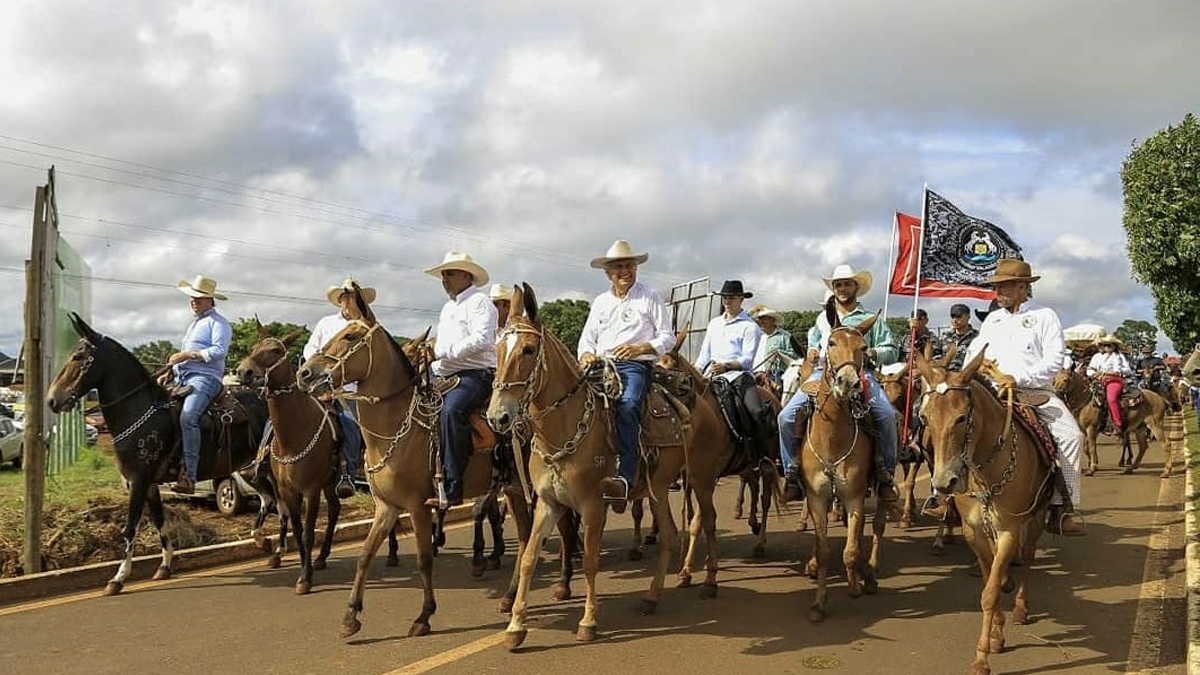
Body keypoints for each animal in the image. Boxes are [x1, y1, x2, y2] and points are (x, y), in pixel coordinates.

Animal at [47, 312, 268, 596]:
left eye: (78, 357)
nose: (52, 400)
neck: (141, 412)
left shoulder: (138, 481)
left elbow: (130, 528)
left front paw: (118, 577)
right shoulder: (150, 484)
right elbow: (160, 522)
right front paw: (164, 567)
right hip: (249, 469)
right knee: (269, 499)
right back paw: (266, 543)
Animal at [487, 283, 687, 649]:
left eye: (528, 349)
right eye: (496, 349)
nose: (498, 417)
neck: (563, 432)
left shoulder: (594, 506)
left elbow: (592, 562)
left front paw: (588, 622)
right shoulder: (548, 503)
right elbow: (528, 558)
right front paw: (516, 625)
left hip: (660, 487)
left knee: (668, 534)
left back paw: (652, 596)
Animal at [798, 307, 887, 623]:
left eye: (863, 347)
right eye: (831, 343)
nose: (848, 382)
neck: (832, 438)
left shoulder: (854, 496)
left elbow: (849, 549)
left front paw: (854, 586)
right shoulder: (817, 497)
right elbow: (824, 548)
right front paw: (818, 603)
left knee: (866, 533)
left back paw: (866, 574)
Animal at [915, 346, 1054, 675]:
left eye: (961, 418)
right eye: (924, 417)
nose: (945, 482)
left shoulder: (1008, 530)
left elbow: (990, 593)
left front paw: (981, 658)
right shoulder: (974, 531)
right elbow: (988, 578)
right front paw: (995, 635)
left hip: (1036, 517)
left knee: (1028, 556)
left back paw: (1021, 606)